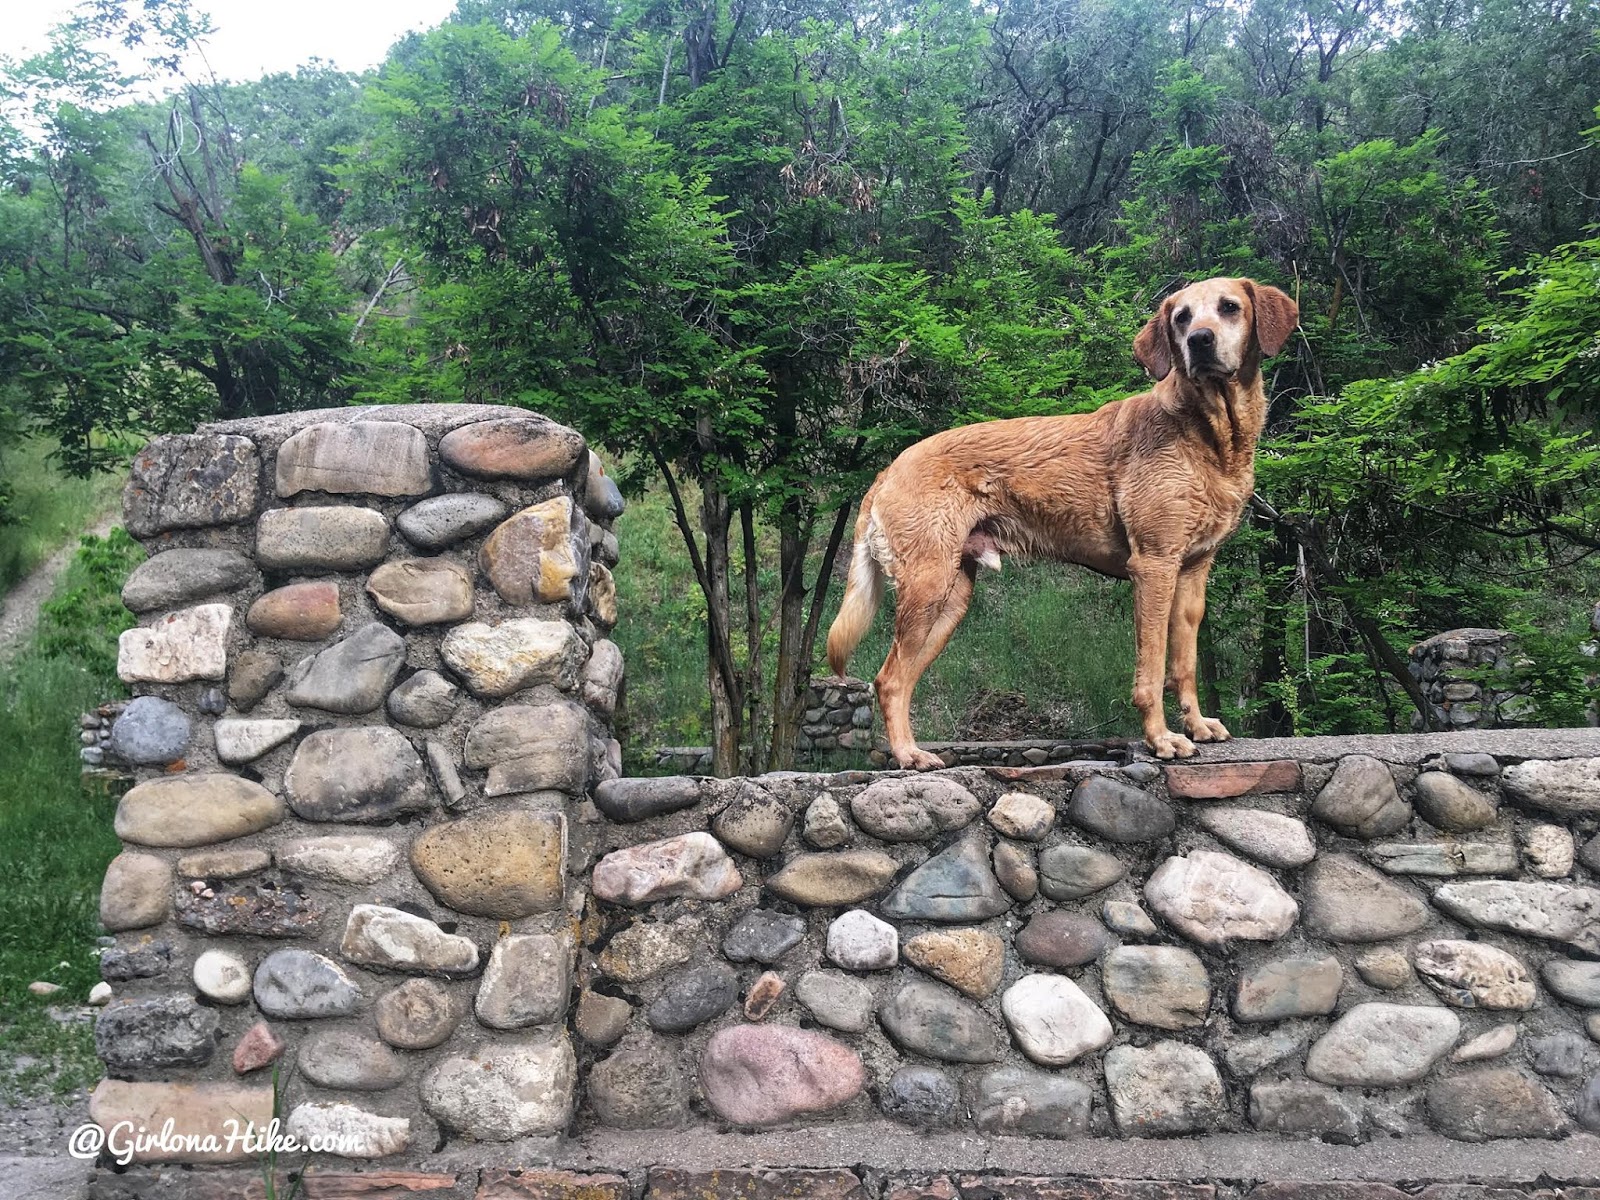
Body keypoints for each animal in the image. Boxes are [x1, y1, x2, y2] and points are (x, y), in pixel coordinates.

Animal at [832, 280, 1292, 771]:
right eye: (1181, 317)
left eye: (1229, 307)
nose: (1200, 341)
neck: (1208, 433)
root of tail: (889, 469)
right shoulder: (1154, 568)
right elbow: (1151, 670)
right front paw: (1160, 739)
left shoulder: (1191, 574)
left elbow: (1183, 665)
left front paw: (1197, 725)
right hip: (927, 587)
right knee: (889, 678)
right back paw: (907, 755)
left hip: (950, 601)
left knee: (897, 681)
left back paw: (912, 751)